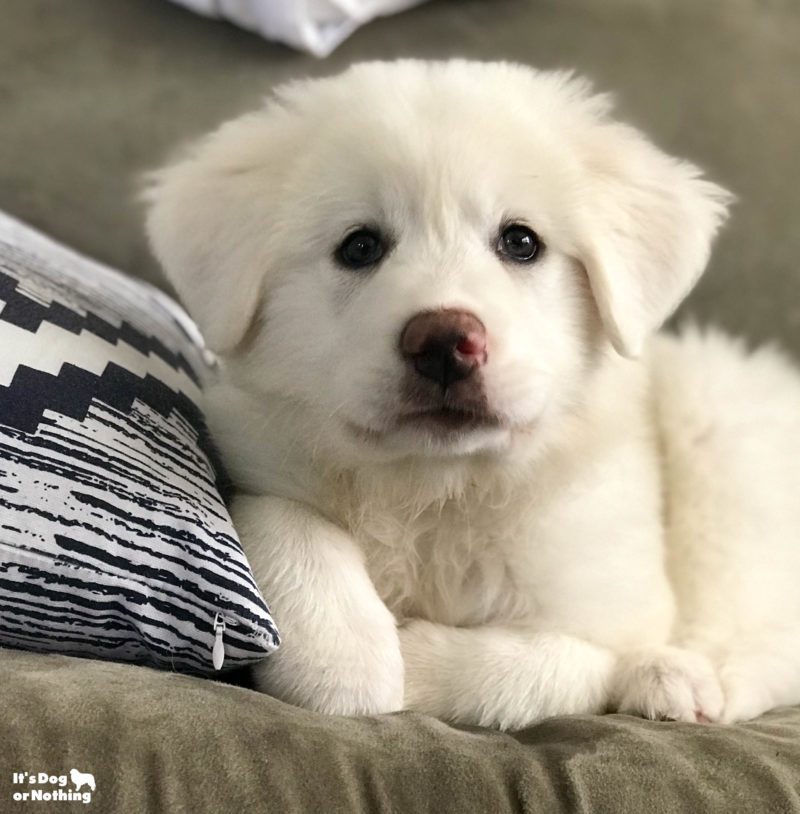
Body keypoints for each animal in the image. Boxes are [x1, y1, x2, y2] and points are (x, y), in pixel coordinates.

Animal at [147, 60, 800, 728]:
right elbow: (283, 516)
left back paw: (679, 680)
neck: (441, 490)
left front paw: (404, 659)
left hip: (714, 412)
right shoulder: (256, 453)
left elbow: (544, 666)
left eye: (521, 242)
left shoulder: (605, 604)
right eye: (360, 247)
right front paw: (345, 654)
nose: (442, 344)